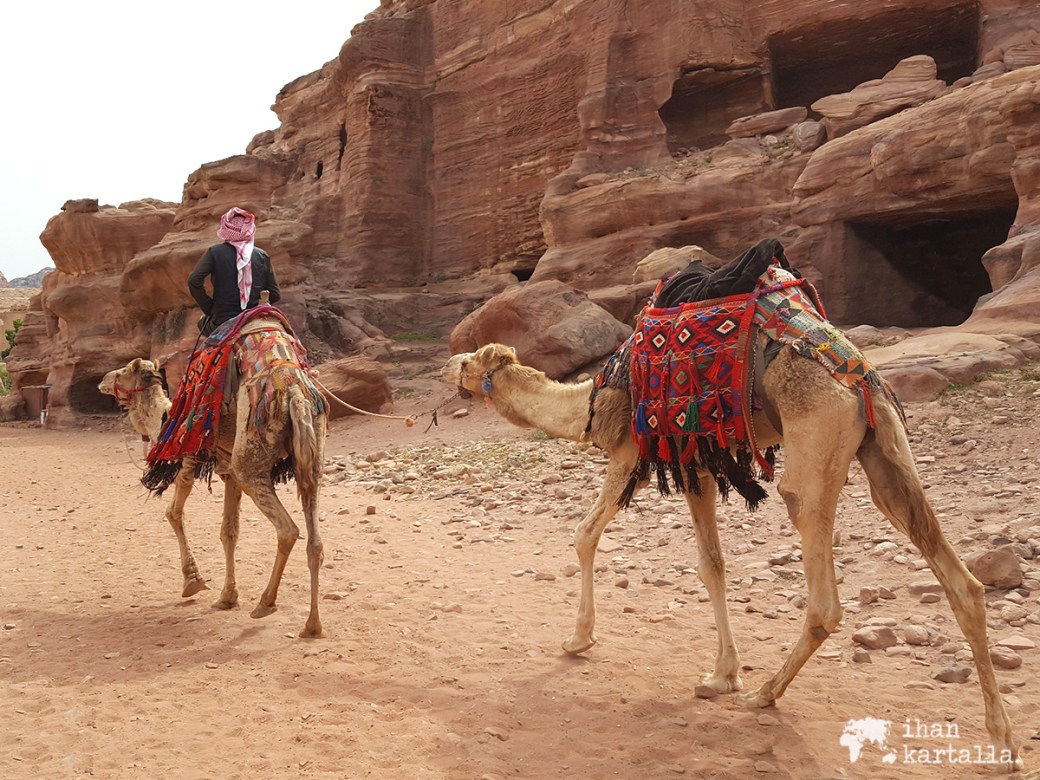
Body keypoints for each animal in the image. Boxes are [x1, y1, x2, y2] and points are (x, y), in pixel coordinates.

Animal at [99, 320, 328, 638]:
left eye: (121, 372)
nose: (102, 379)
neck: (163, 418)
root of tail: (293, 393)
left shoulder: (188, 458)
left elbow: (173, 513)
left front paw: (192, 581)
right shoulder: (228, 472)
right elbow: (229, 532)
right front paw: (227, 597)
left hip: (250, 463)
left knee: (288, 529)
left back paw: (266, 603)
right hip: (312, 454)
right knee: (315, 539)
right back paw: (312, 624)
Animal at [442, 337, 1020, 768]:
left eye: (468, 360)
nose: (448, 365)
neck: (588, 403)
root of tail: (855, 381)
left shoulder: (632, 454)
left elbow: (585, 535)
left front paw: (579, 639)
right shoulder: (696, 464)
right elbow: (712, 564)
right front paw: (722, 673)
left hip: (816, 446)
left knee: (822, 590)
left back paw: (764, 693)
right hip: (886, 451)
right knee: (961, 581)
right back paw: (1004, 743)